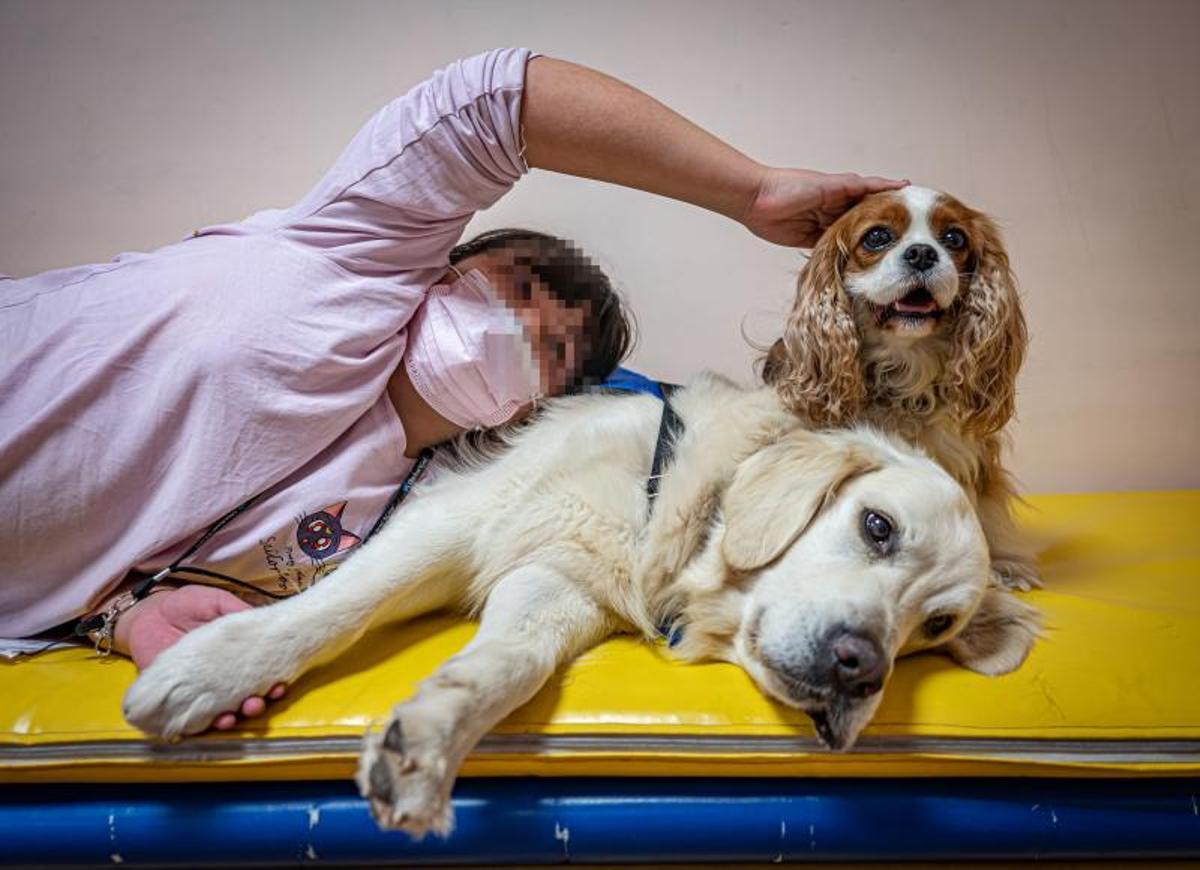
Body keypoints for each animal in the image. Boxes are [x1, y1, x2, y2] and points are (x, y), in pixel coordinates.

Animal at [124, 374, 1041, 835]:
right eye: (876, 526)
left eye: (938, 626)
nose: (860, 669)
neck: (680, 514)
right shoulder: (462, 515)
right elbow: (342, 605)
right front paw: (212, 670)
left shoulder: (554, 582)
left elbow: (509, 666)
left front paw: (425, 744)